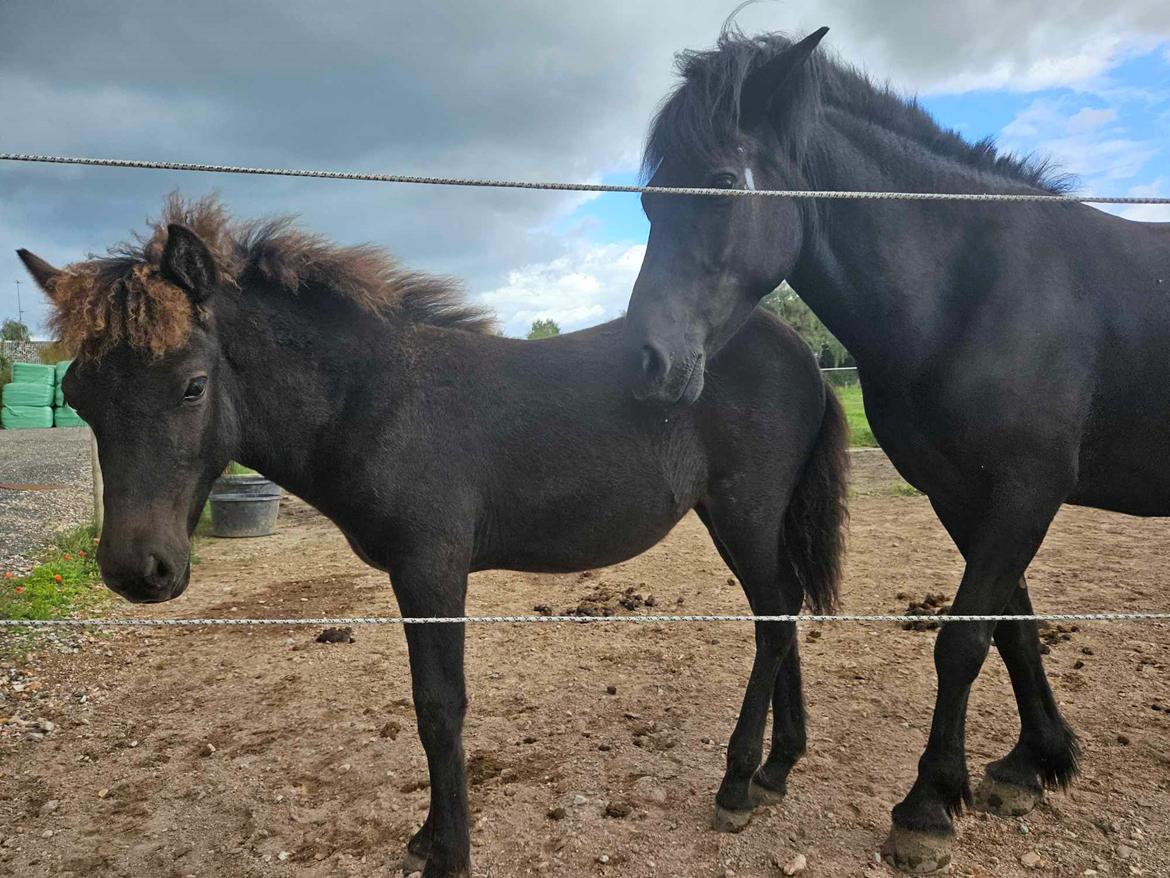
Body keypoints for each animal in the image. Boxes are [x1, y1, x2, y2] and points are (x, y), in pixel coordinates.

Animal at [18, 197, 851, 878]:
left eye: (193, 385)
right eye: (80, 397)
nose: (138, 570)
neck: (378, 398)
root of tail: (803, 355)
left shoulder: (432, 569)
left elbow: (438, 706)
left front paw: (449, 853)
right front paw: (428, 838)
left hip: (745, 510)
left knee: (774, 620)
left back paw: (737, 784)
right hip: (736, 517)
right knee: (783, 612)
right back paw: (777, 769)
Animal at [622, 25, 1170, 875]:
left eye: (721, 182)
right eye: (650, 200)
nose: (647, 362)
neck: (976, 288)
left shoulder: (1027, 488)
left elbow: (964, 641)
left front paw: (927, 807)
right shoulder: (964, 494)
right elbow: (1013, 628)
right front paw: (1032, 763)